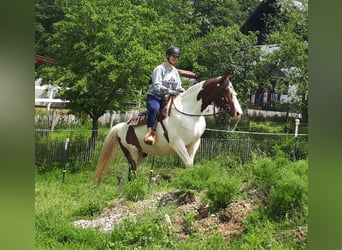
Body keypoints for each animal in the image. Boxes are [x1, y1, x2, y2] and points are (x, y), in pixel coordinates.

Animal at [94, 74, 243, 184]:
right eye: (225, 90)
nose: (238, 112)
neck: (189, 111)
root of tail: (121, 127)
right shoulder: (177, 144)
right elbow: (189, 164)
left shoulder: (194, 143)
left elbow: (190, 164)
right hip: (132, 153)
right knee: (132, 173)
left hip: (141, 155)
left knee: (127, 175)